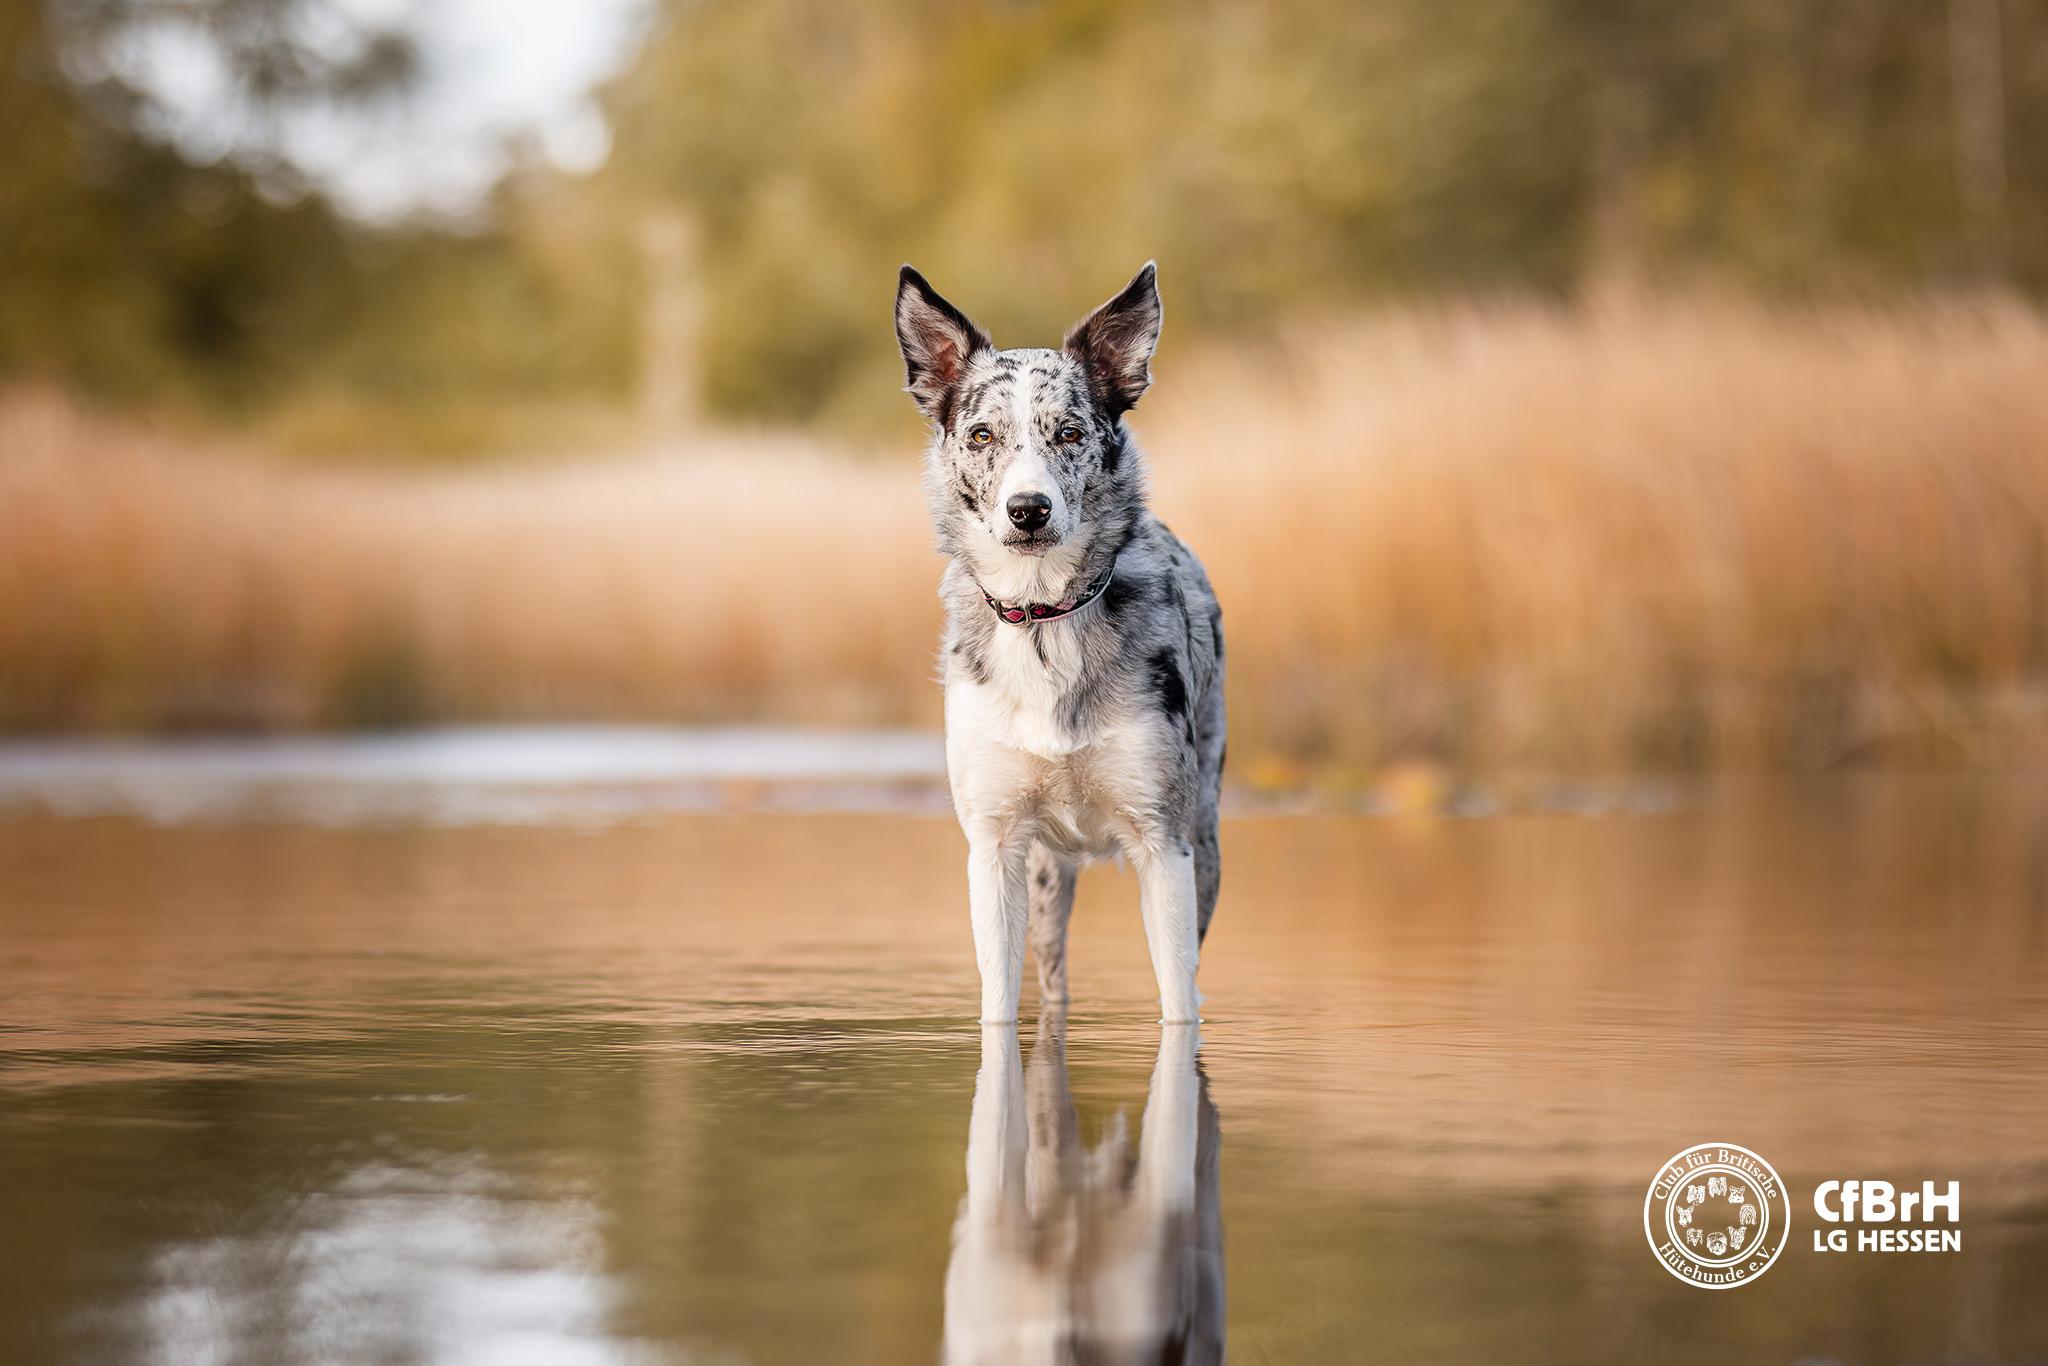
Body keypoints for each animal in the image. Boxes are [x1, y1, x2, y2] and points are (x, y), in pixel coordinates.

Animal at [892, 262, 1212, 1019]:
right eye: (982, 435)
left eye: (1069, 432)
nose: (1028, 510)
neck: (1045, 617)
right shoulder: (995, 848)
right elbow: (998, 1007)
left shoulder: (1164, 845)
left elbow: (1179, 1003)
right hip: (1043, 882)